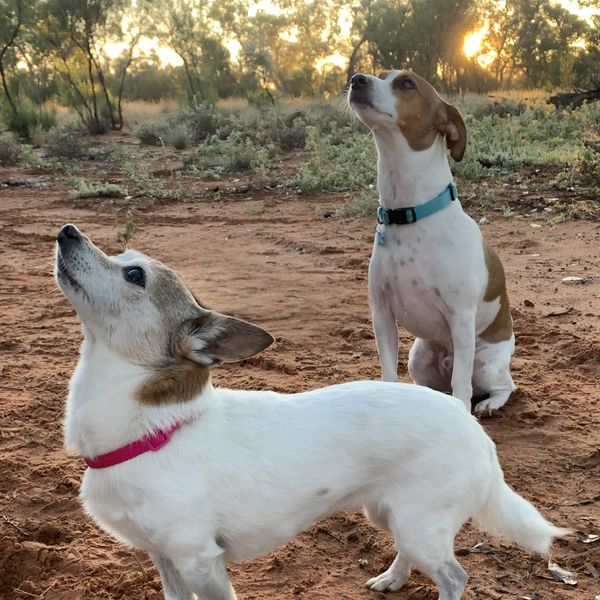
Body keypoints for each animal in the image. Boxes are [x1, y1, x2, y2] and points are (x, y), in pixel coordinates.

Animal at [54, 225, 564, 600]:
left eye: (133, 275)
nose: (67, 231)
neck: (151, 430)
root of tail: (471, 425)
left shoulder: (199, 561)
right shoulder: (165, 560)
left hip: (419, 522)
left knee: (454, 577)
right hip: (392, 514)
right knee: (413, 554)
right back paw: (393, 578)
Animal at [346, 69, 516, 412]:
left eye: (407, 84)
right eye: (380, 74)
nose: (357, 79)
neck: (410, 213)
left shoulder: (461, 318)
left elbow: (461, 386)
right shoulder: (382, 315)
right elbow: (388, 375)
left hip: (486, 364)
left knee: (503, 385)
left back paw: (490, 404)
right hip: (419, 358)